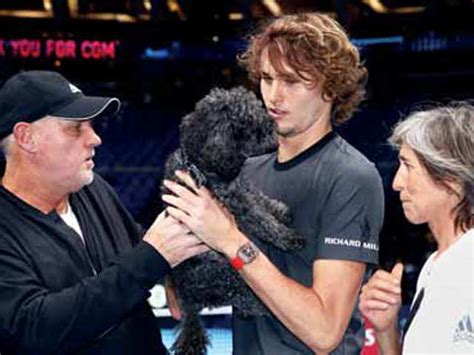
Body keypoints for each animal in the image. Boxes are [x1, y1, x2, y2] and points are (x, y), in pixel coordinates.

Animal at [162, 87, 304, 355]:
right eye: (255, 126)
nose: (273, 122)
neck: (200, 164)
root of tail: (189, 302)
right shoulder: (238, 206)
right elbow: (262, 221)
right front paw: (289, 237)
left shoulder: (242, 189)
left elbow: (261, 200)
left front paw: (280, 211)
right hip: (224, 272)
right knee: (243, 298)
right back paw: (263, 308)